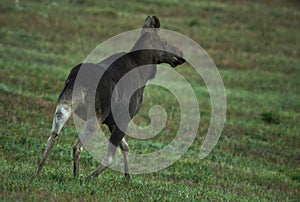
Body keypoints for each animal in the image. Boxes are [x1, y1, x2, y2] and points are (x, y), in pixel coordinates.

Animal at [36, 16, 186, 179]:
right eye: (164, 41)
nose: (181, 54)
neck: (145, 72)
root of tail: (77, 79)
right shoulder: (124, 118)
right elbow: (112, 155)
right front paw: (94, 176)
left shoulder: (112, 120)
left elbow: (125, 146)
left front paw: (128, 176)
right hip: (96, 116)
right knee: (78, 147)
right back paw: (77, 176)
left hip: (64, 105)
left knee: (53, 135)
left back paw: (38, 171)